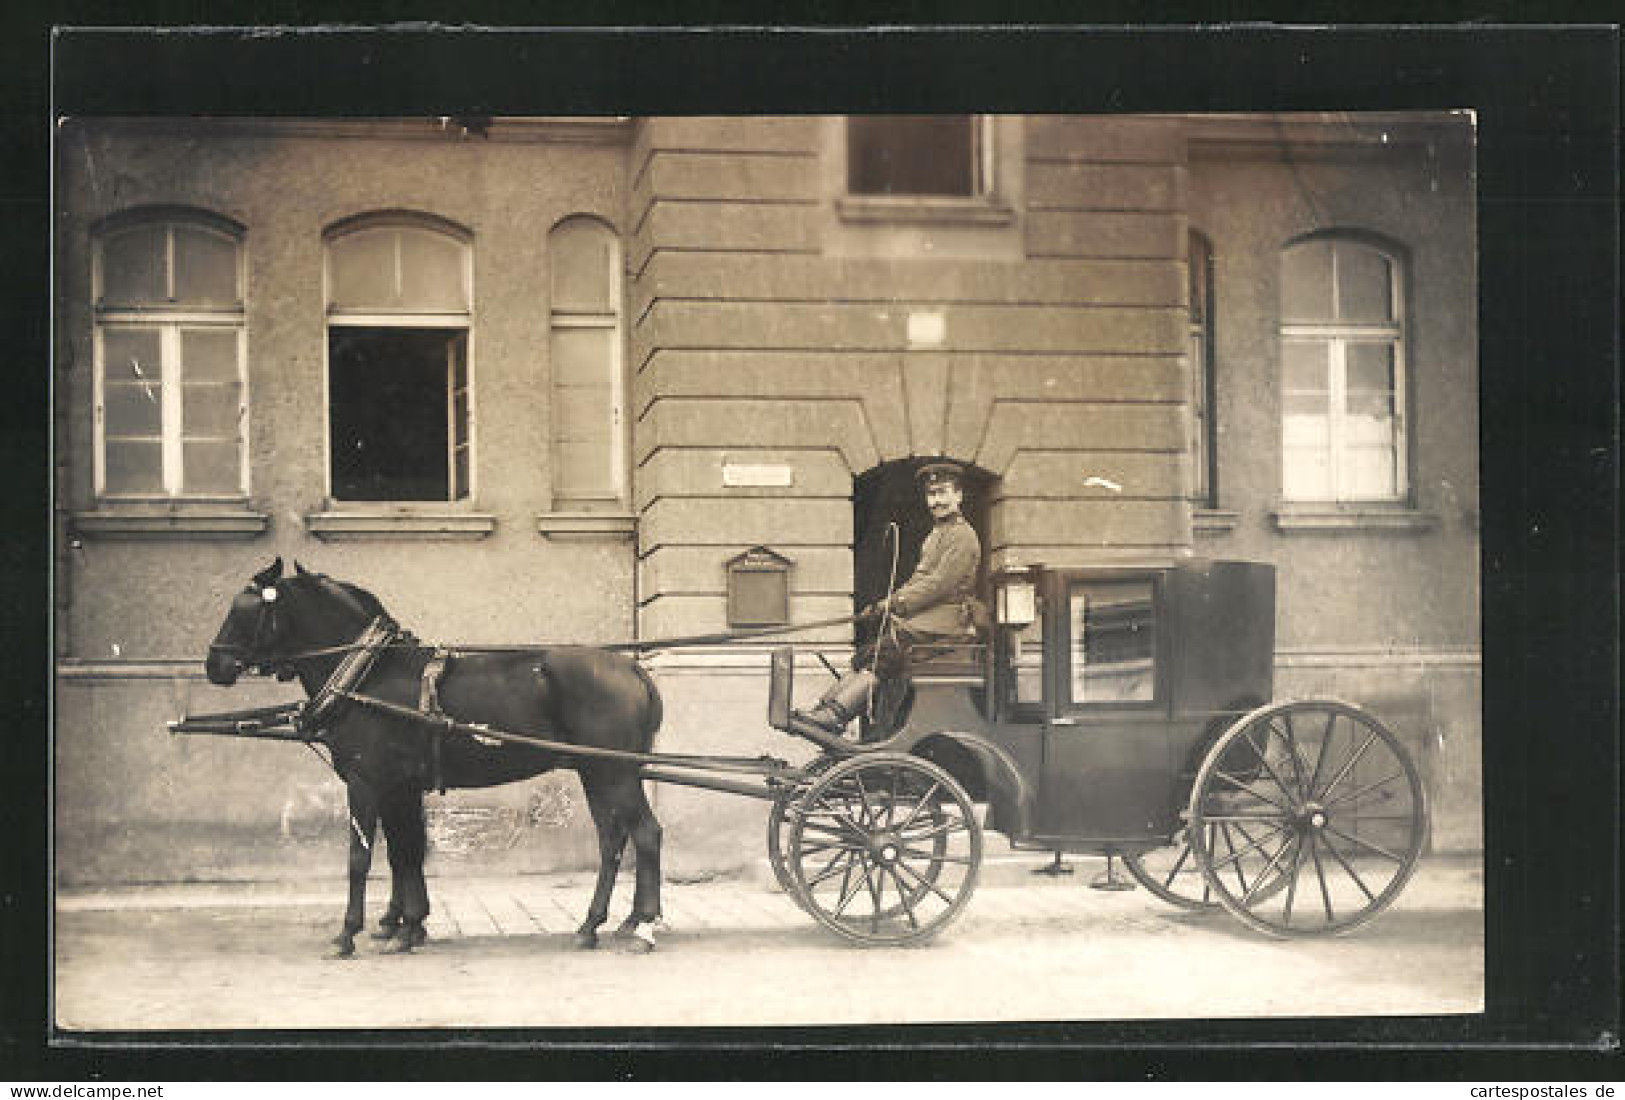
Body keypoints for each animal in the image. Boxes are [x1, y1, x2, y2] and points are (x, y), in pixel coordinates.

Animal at [203, 558, 666, 955]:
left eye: (243, 611)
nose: (213, 665)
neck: (368, 675)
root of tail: (631, 668)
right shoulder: (400, 788)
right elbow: (404, 852)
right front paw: (408, 926)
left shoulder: (366, 783)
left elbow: (361, 857)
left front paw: (351, 932)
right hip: (597, 771)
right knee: (612, 839)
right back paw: (593, 924)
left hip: (613, 772)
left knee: (645, 833)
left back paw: (642, 925)